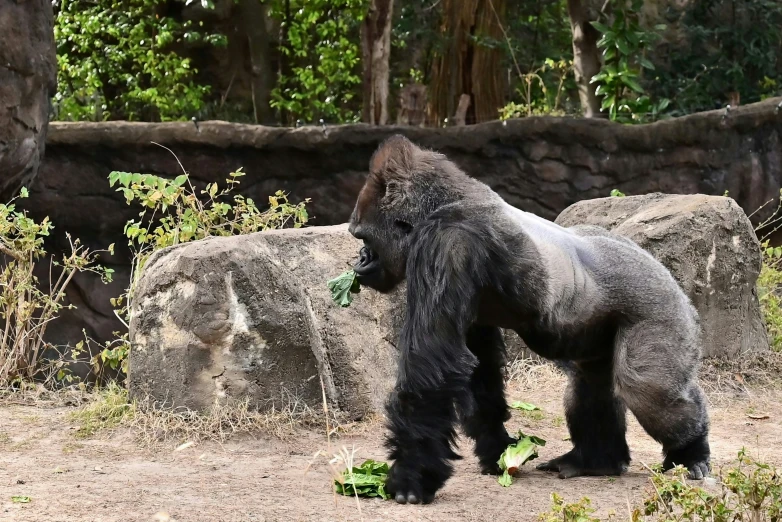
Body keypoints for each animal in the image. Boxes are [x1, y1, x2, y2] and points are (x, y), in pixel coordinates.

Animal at [346, 134, 712, 504]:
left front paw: (410, 475)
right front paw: (495, 447)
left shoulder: (445, 242)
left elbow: (432, 361)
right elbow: (478, 363)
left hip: (660, 306)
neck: (440, 205)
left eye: (364, 238)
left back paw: (690, 452)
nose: (359, 260)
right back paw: (597, 459)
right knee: (590, 380)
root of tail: (665, 271)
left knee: (647, 389)